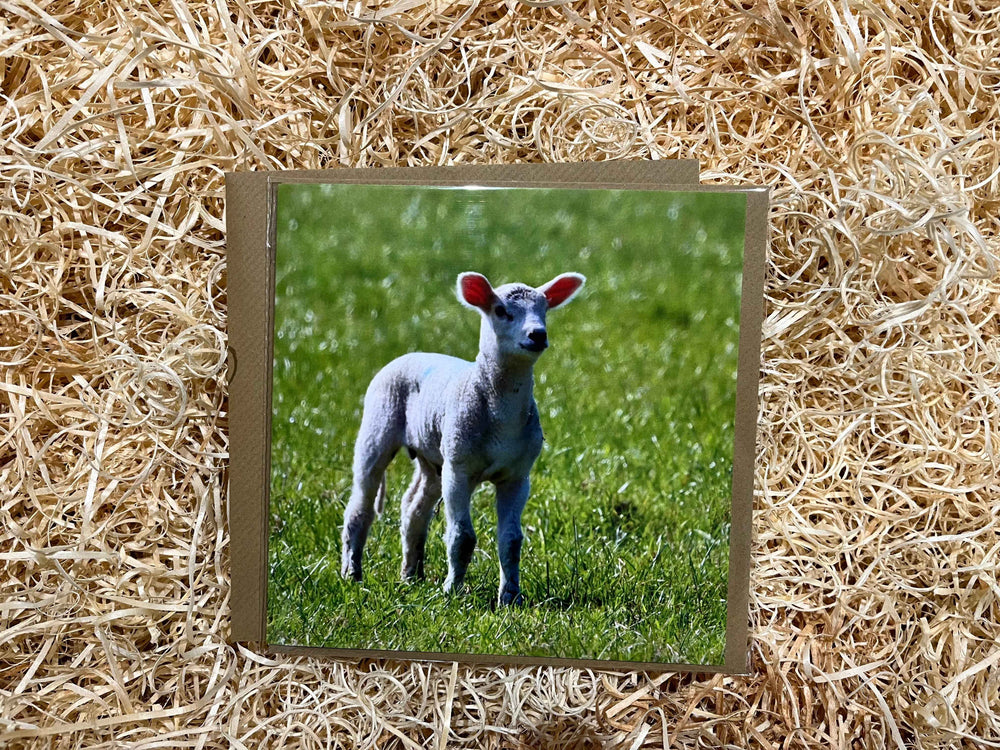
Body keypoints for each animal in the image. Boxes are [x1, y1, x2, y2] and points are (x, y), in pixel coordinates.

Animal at [340, 271, 586, 605]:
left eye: (544, 309)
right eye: (501, 311)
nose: (537, 335)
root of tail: (411, 354)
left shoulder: (517, 475)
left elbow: (512, 540)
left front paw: (511, 597)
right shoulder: (459, 468)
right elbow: (462, 536)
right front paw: (452, 592)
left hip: (434, 456)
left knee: (414, 507)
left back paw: (411, 576)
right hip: (378, 424)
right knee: (360, 505)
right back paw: (352, 573)